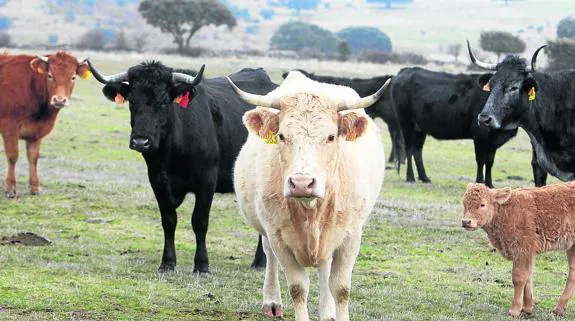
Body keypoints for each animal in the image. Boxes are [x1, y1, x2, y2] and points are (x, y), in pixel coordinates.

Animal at [0, 52, 89, 198]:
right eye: (50, 75)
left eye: (73, 77)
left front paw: (35, 187)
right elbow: (13, 156)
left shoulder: (36, 132)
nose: (59, 100)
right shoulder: (10, 127)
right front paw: (10, 188)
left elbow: (33, 158)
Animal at [89, 59, 278, 270]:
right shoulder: (157, 180)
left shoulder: (207, 181)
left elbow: (199, 221)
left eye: (164, 102)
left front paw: (202, 265)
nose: (140, 142)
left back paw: (261, 261)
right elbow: (169, 220)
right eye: (132, 101)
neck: (173, 153)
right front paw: (167, 263)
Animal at [230, 72, 388, 320]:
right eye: (282, 136)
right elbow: (298, 288)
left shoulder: (351, 236)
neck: (310, 210)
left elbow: (341, 287)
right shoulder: (278, 237)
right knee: (269, 256)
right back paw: (272, 301)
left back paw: (327, 311)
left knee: (325, 267)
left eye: (331, 136)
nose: (302, 184)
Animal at [462, 181, 575, 316]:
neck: (505, 211)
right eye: (464, 203)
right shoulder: (528, 253)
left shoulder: (522, 250)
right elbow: (528, 276)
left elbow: (519, 277)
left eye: (482, 204)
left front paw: (514, 310)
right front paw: (527, 308)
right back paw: (559, 309)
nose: (466, 221)